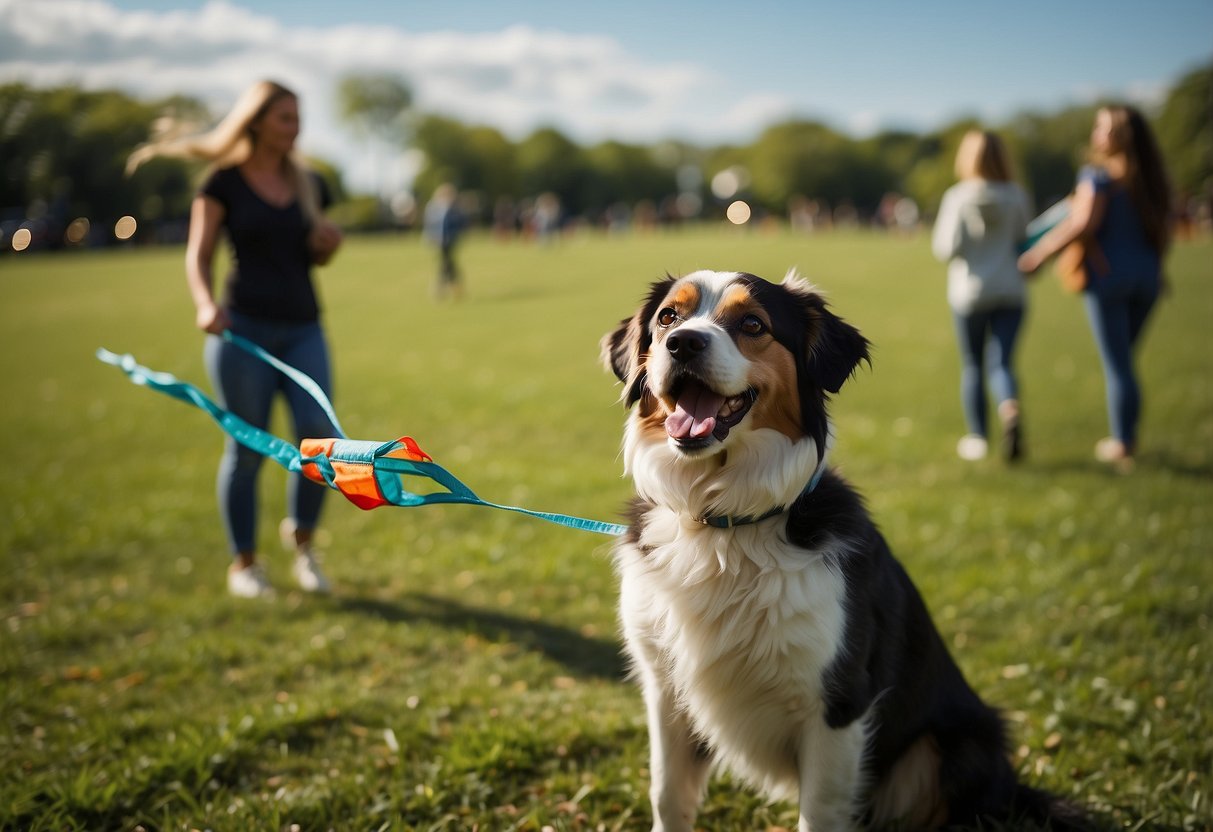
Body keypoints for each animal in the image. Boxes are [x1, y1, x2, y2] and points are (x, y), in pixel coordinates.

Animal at [601, 270, 1086, 829]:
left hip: (950, 747)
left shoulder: (839, 701)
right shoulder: (665, 693)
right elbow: (667, 795)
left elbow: (820, 811)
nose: (682, 343)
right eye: (667, 318)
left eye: (753, 324)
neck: (722, 526)